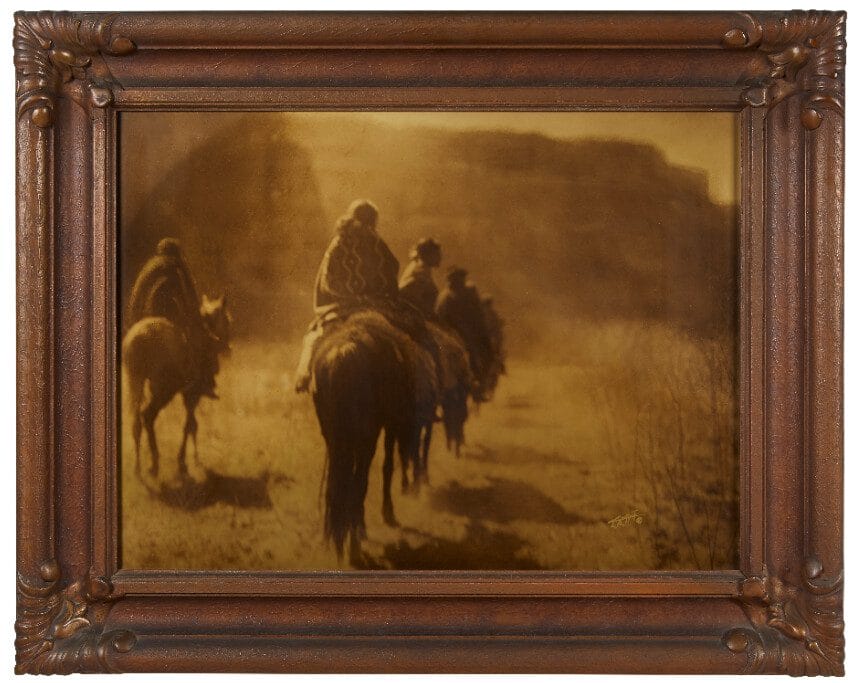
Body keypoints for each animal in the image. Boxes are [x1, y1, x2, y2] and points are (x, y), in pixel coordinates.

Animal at [122, 296, 231, 480]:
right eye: (228, 321)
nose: (228, 348)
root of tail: (140, 338)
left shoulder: (188, 395)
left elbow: (192, 425)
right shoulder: (192, 394)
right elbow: (190, 425)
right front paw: (185, 462)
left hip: (136, 382)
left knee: (136, 422)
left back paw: (138, 468)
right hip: (163, 391)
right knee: (148, 416)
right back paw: (154, 464)